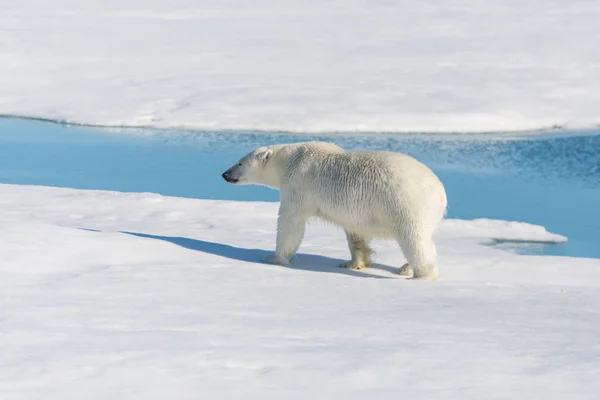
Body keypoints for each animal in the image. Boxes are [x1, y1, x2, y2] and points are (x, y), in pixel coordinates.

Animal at [223, 142, 448, 280]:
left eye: (240, 162)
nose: (225, 174)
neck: (289, 159)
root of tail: (440, 191)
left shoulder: (298, 184)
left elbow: (291, 222)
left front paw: (274, 258)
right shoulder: (355, 210)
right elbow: (355, 233)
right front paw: (353, 262)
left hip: (405, 203)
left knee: (414, 238)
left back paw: (420, 274)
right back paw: (406, 267)